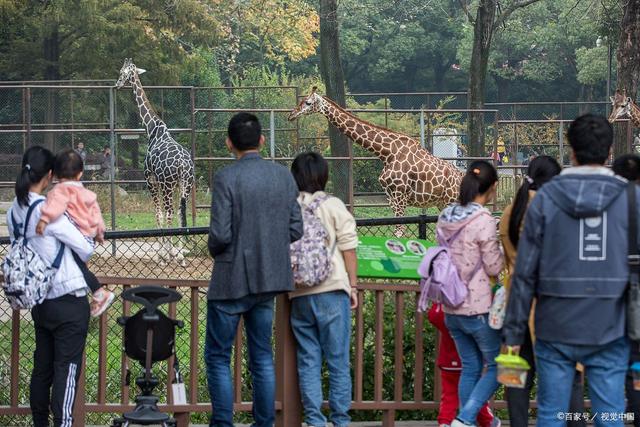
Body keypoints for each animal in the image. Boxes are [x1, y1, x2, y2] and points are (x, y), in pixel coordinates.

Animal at [115, 58, 194, 262]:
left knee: (169, 211)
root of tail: (183, 165)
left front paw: (162, 254)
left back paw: (170, 255)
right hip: (186, 184)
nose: (117, 84)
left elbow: (158, 213)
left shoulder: (150, 180)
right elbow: (171, 213)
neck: (151, 129)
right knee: (180, 210)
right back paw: (180, 255)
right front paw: (174, 252)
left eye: (122, 72)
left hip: (167, 184)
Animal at [290, 87, 464, 234]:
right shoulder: (391, 197)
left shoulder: (400, 195)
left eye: (308, 102)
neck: (387, 153)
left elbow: (399, 231)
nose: (291, 114)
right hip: (442, 204)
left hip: (451, 201)